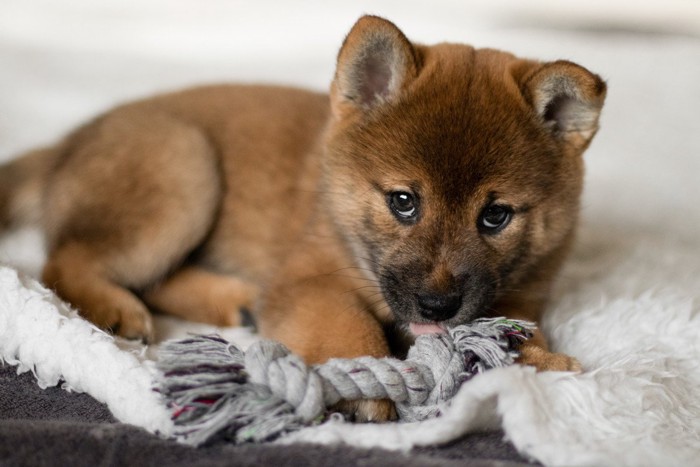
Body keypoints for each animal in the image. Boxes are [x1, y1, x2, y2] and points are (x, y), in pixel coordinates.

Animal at [0, 16, 604, 422]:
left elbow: (509, 333)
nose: (437, 307)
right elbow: (348, 328)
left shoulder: (519, 297)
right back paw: (114, 307)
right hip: (184, 169)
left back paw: (234, 299)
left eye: (496, 216)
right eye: (403, 201)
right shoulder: (312, 280)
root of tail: (66, 146)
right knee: (66, 260)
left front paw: (541, 361)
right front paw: (366, 381)